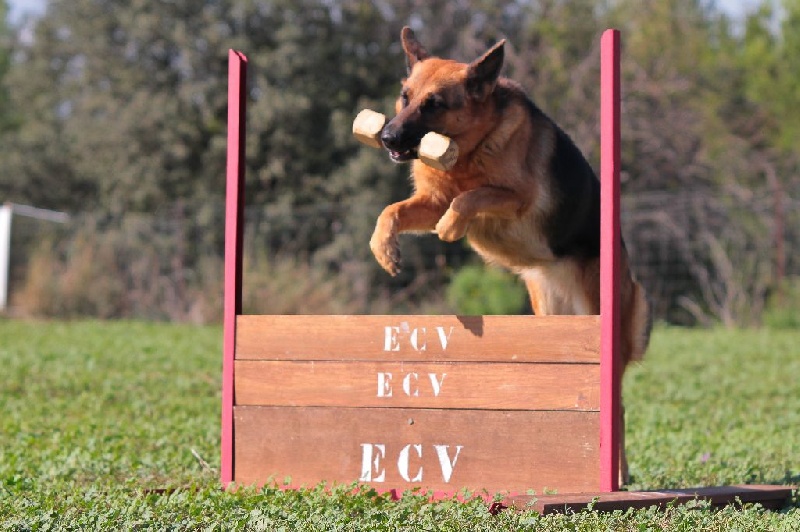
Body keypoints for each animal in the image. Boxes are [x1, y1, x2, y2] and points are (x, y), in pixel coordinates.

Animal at [370, 28, 648, 478]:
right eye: (405, 96)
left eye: (434, 104)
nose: (387, 138)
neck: (468, 151)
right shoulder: (429, 201)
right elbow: (392, 211)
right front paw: (385, 250)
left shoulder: (516, 198)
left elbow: (469, 198)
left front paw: (452, 226)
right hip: (552, 319)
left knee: (618, 409)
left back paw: (619, 475)